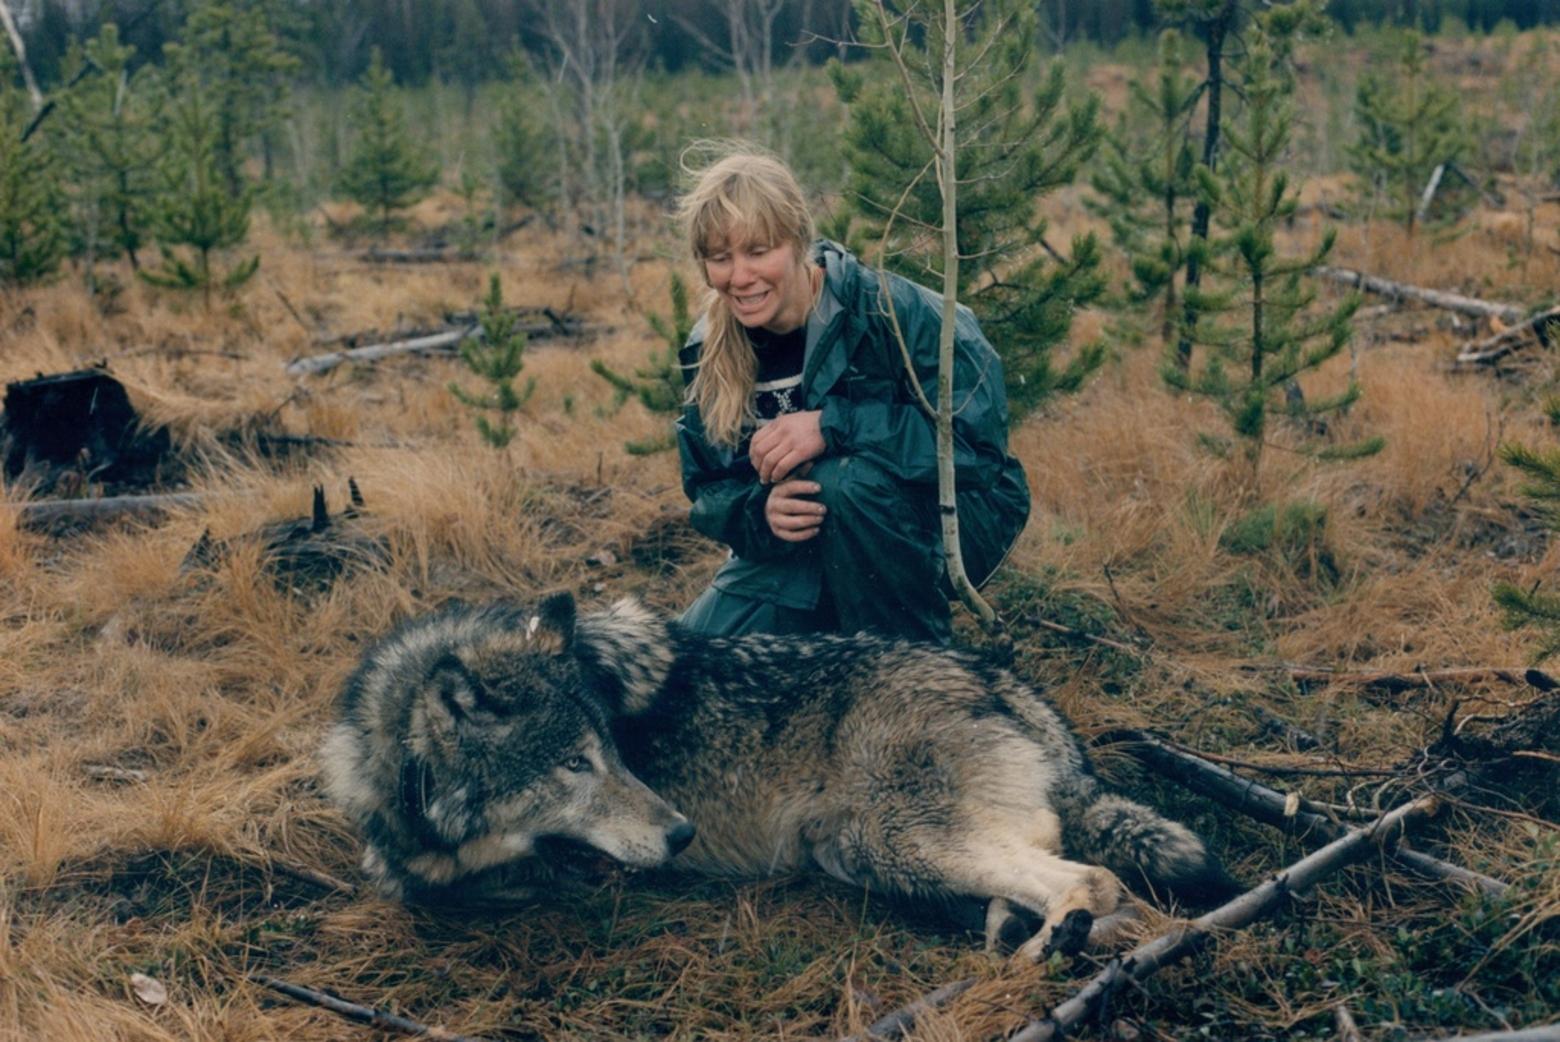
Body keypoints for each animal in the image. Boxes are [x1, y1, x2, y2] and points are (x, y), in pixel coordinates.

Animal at [322, 589, 1235, 954]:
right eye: (576, 763)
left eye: (611, 751)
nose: (682, 834)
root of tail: (1002, 678)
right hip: (874, 851)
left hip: (887, 837)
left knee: (1090, 879)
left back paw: (1046, 951)